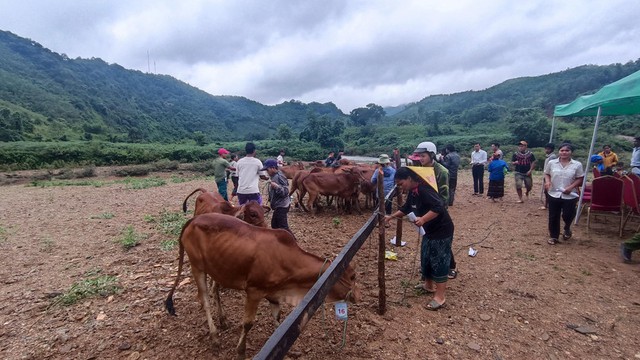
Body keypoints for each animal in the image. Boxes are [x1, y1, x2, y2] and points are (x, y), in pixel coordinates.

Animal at [165, 214, 358, 360]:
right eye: (352, 276)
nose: (357, 296)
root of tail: (194, 219)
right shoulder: (254, 291)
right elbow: (248, 323)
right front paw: (241, 351)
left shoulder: (273, 294)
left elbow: (278, 319)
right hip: (197, 266)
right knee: (204, 299)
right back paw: (214, 336)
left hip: (218, 268)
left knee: (215, 292)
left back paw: (223, 320)